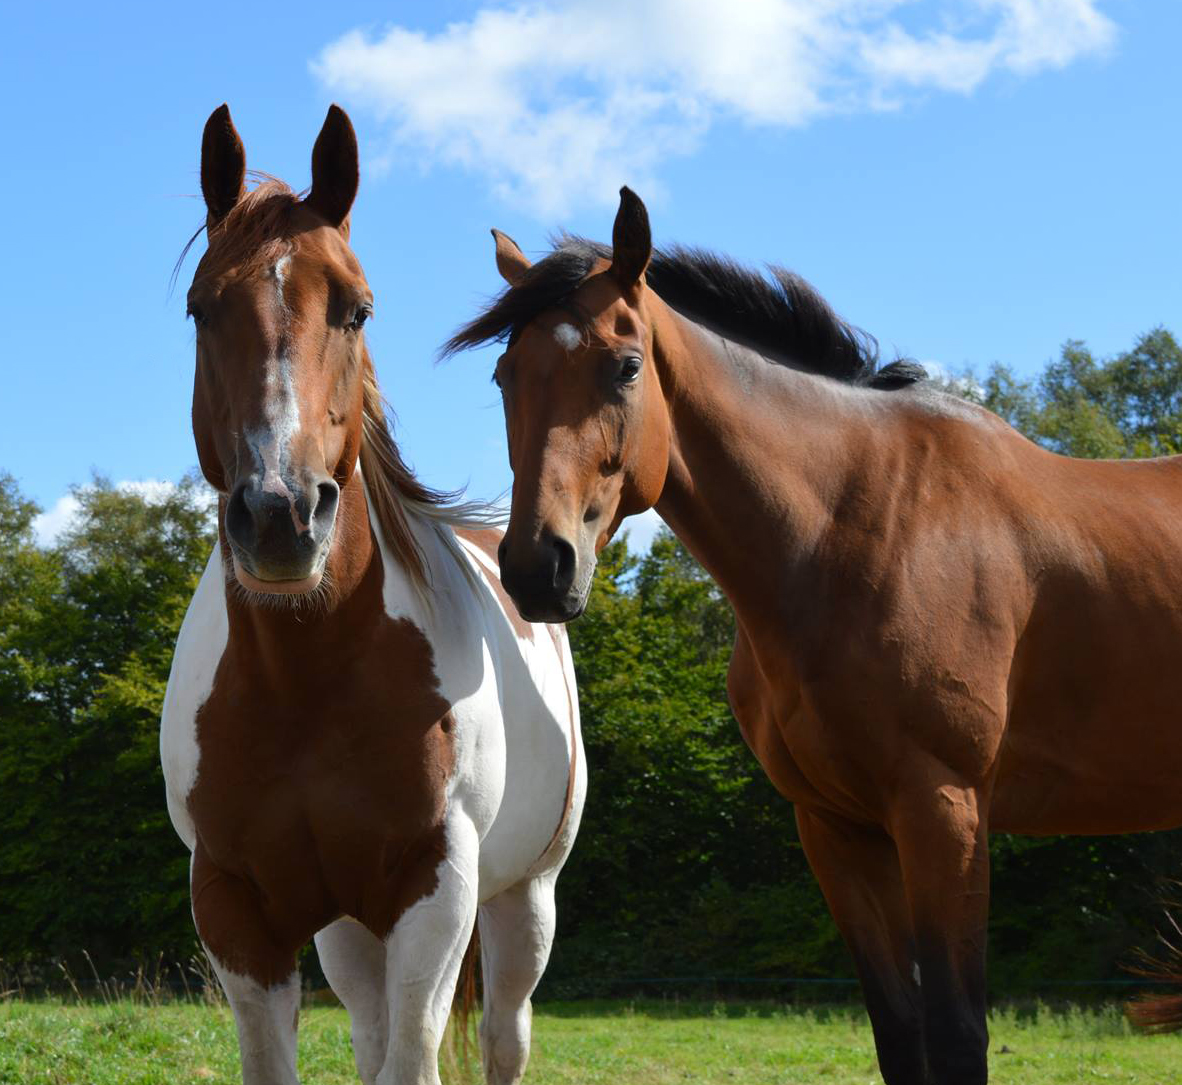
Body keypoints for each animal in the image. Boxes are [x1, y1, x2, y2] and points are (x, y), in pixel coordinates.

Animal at [159, 104, 583, 1085]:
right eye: (202, 308)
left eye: (356, 308)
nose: (281, 514)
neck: (304, 679)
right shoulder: (237, 906)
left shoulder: (435, 891)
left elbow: (415, 1060)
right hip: (351, 933)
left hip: (522, 901)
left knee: (503, 1034)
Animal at [444, 191, 1182, 1082]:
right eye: (505, 375)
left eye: (625, 366)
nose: (535, 567)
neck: (862, 528)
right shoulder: (836, 828)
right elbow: (900, 1030)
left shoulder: (944, 811)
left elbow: (957, 1032)